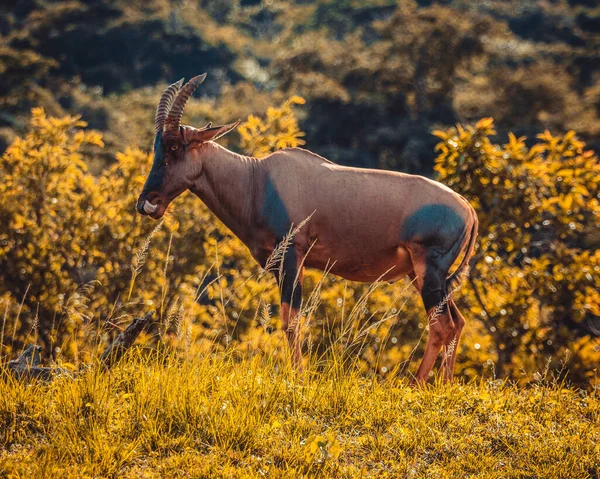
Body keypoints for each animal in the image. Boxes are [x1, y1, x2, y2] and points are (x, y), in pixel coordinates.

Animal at [137, 74, 478, 382]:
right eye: (157, 146)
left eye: (175, 146)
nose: (147, 202)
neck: (257, 178)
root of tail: (468, 208)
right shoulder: (284, 264)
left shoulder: (291, 256)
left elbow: (291, 320)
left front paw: (298, 377)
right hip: (427, 277)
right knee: (457, 322)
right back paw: (444, 385)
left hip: (428, 272)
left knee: (441, 325)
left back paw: (416, 383)